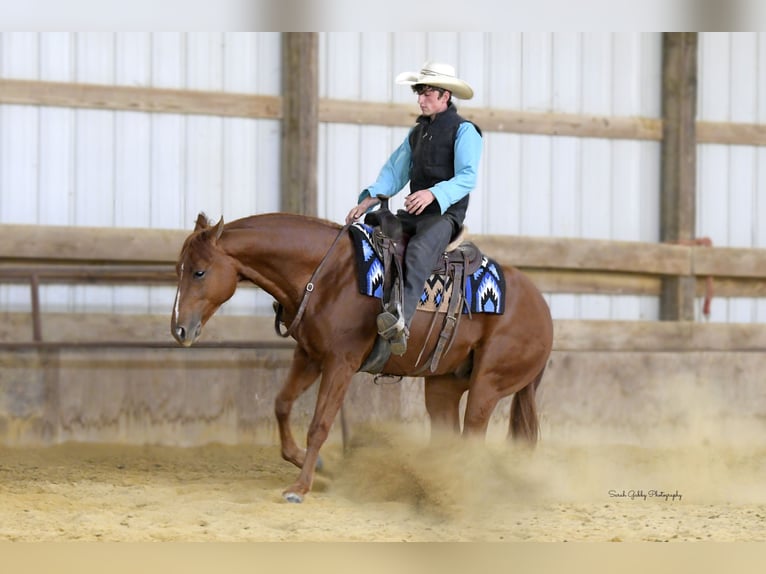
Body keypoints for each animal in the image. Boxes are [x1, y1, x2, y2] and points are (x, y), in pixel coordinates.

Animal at [171, 212, 553, 503]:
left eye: (200, 271)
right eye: (179, 269)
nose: (179, 329)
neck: (329, 275)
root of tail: (543, 308)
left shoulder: (341, 363)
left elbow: (319, 425)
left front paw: (300, 487)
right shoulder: (310, 356)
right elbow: (281, 404)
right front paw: (311, 464)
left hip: (487, 387)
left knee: (473, 436)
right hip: (443, 386)